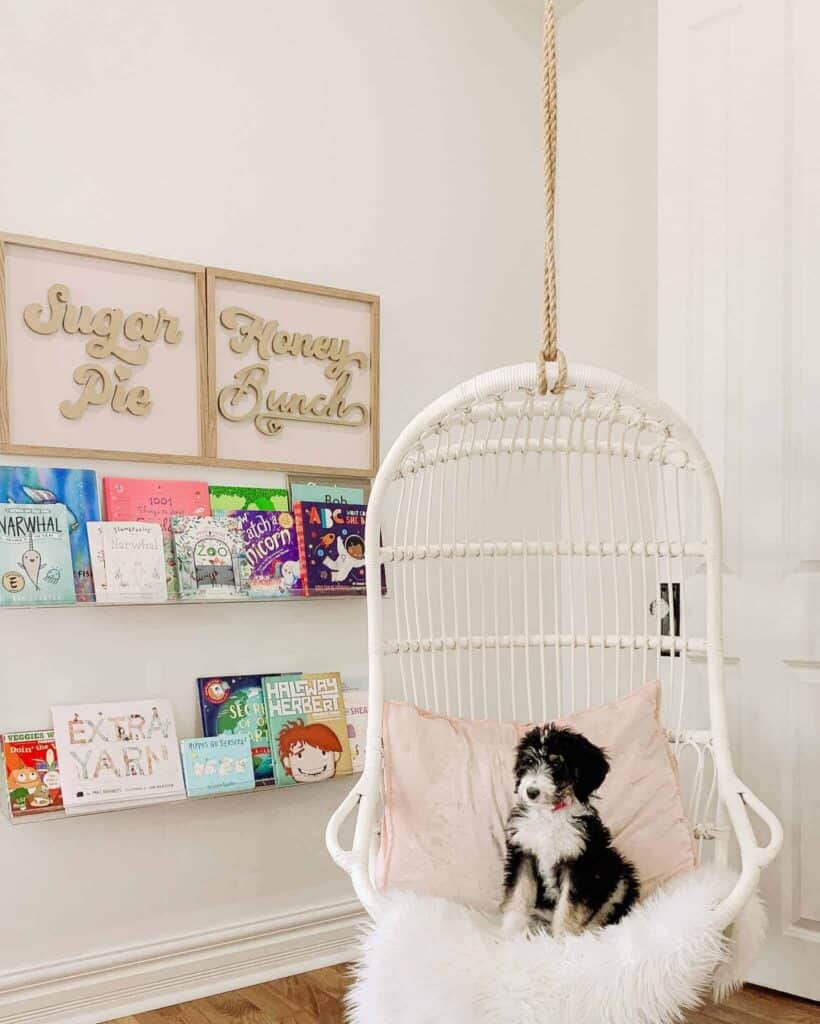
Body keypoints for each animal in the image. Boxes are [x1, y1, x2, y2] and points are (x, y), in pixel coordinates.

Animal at [499, 729, 638, 937]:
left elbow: (569, 907)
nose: (531, 792)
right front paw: (508, 934)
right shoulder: (523, 853)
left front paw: (563, 940)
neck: (549, 813)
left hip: (620, 874)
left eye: (557, 764)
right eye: (529, 761)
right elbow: (518, 894)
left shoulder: (579, 864)